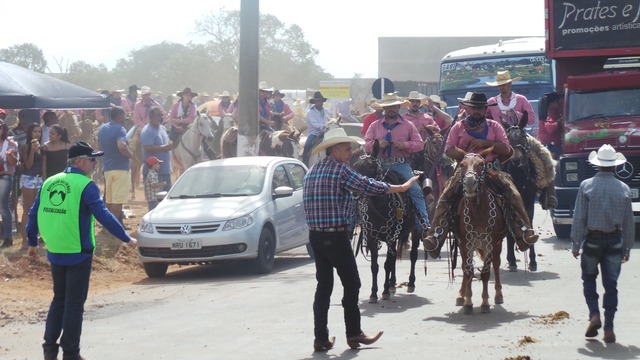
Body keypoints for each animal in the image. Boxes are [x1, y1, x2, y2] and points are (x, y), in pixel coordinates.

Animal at [348, 141, 422, 304]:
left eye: (370, 166)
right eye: (355, 166)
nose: (354, 192)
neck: (380, 207)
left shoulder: (390, 237)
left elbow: (387, 264)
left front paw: (385, 291)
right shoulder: (372, 237)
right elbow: (375, 266)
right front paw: (374, 293)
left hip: (415, 231)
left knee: (413, 255)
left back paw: (410, 283)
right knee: (394, 258)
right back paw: (393, 283)